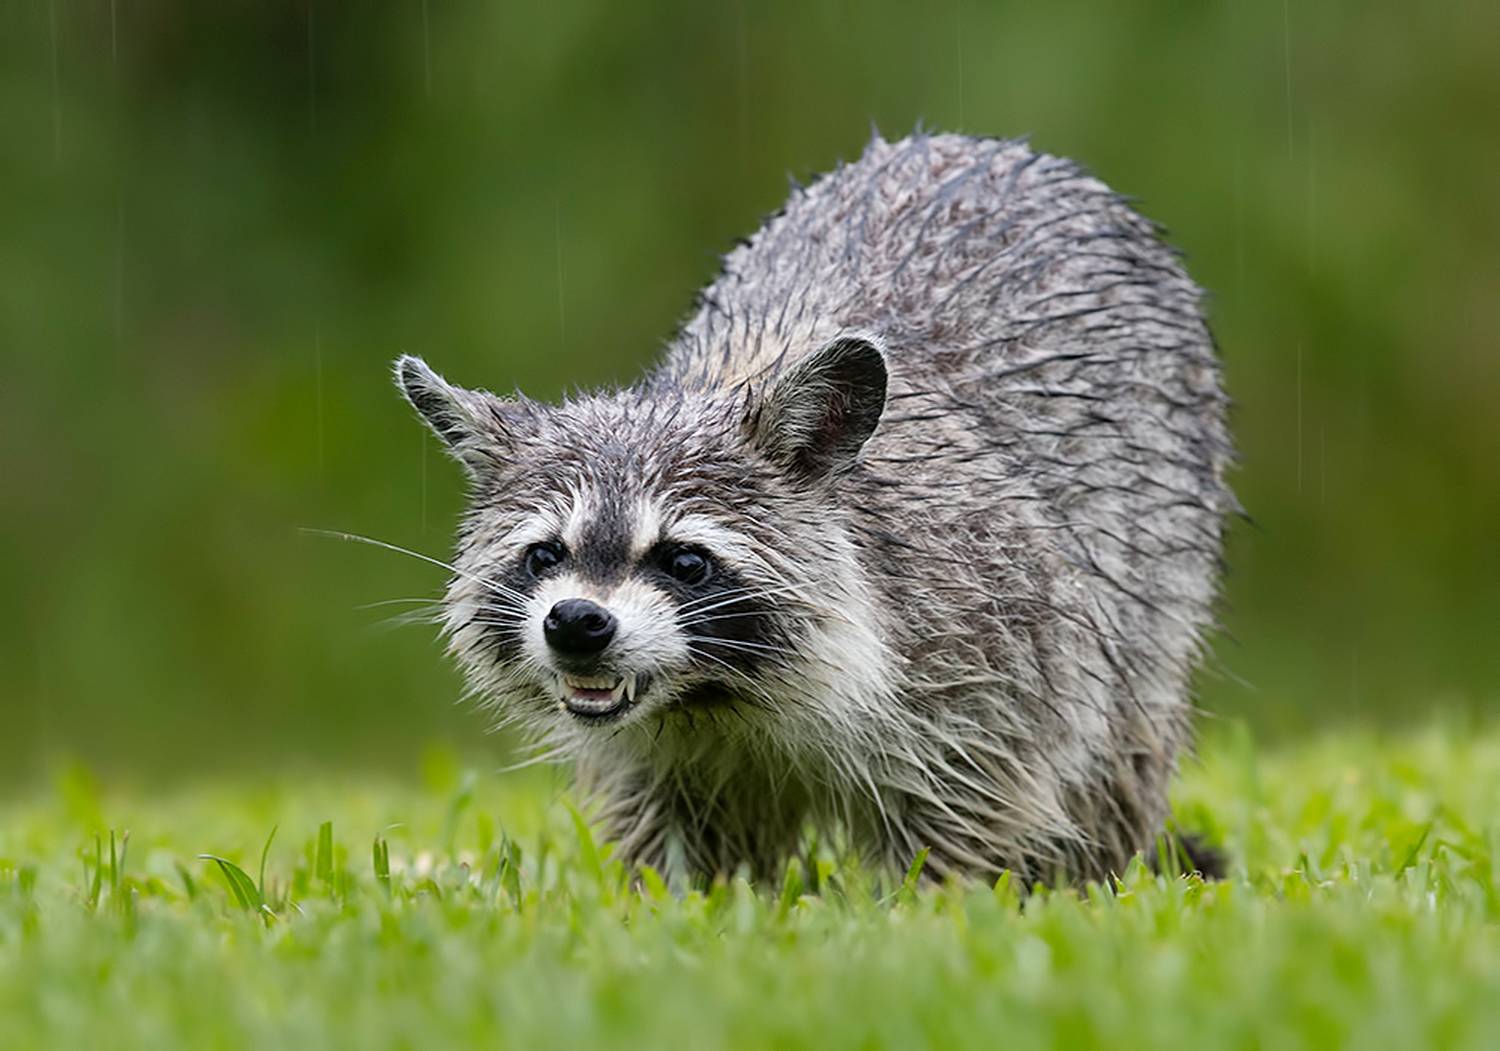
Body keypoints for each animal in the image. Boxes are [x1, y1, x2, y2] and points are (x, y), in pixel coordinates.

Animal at [395, 132, 1235, 885]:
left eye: (685, 560)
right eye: (545, 554)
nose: (575, 623)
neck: (710, 694)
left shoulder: (992, 632)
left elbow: (974, 792)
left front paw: (930, 902)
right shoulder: (659, 749)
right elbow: (677, 832)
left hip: (1157, 565)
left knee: (1120, 743)